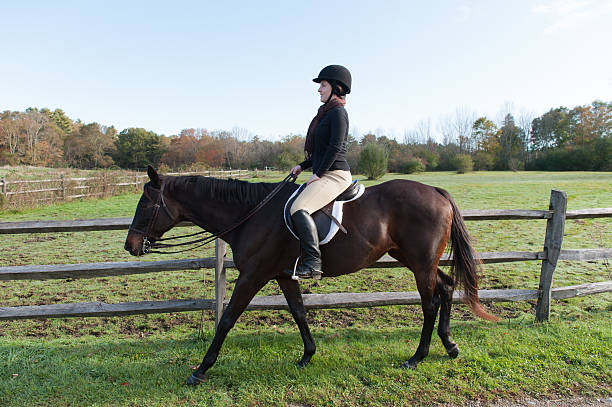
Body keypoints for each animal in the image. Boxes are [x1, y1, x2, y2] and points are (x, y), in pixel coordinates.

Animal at [124, 166, 498, 386]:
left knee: (429, 303)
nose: (130, 245)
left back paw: (417, 357)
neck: (250, 215)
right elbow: (299, 312)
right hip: (415, 259)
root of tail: (437, 192)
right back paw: (449, 346)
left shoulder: (253, 275)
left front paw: (201, 369)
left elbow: (228, 319)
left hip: (420, 263)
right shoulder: (282, 275)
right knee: (446, 288)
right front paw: (307, 355)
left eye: (145, 204)